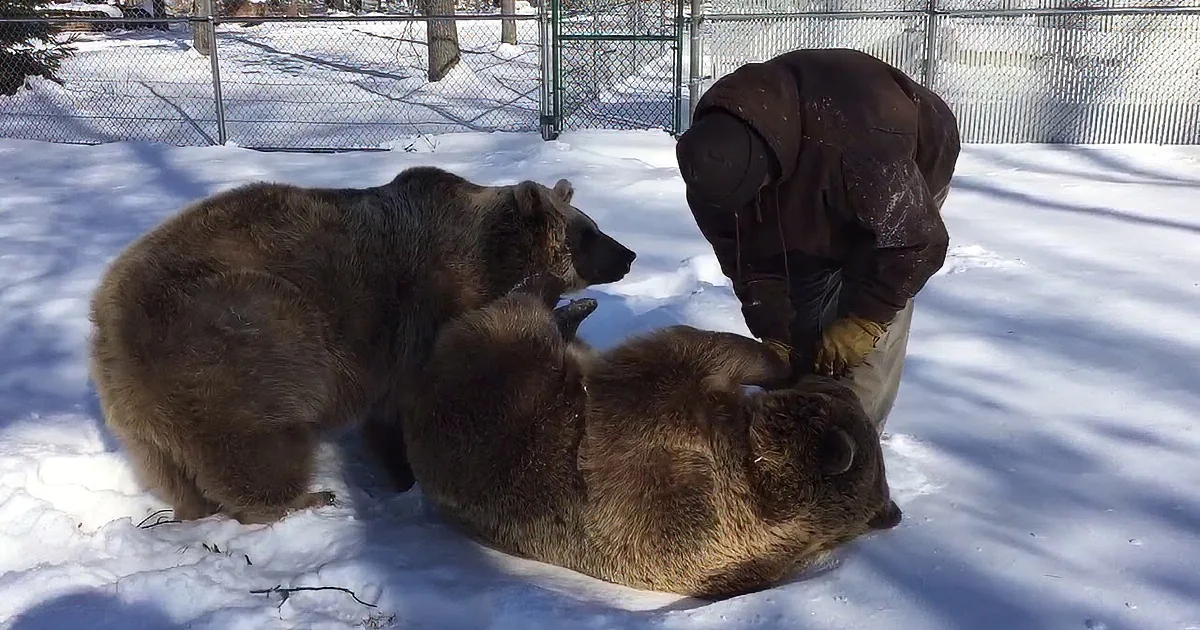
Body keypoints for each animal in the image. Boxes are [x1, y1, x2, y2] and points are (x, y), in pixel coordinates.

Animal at [86, 166, 637, 525]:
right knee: (257, 436)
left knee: (172, 465)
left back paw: (196, 508)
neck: (494, 261)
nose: (629, 254)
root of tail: (107, 315)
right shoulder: (427, 312)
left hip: (145, 403)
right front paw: (408, 473)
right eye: (586, 232)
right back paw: (302, 501)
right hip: (238, 334)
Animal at [404, 274, 903, 599]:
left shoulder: (657, 423)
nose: (827, 379)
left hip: (488, 387)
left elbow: (694, 348)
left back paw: (555, 301)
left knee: (511, 321)